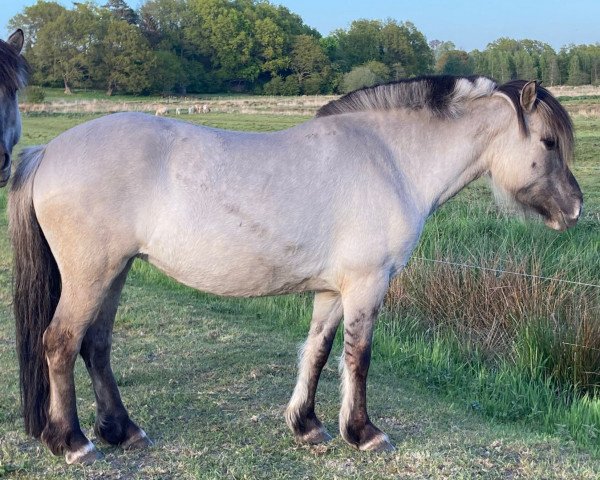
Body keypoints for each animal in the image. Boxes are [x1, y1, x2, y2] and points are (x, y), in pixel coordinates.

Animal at [8, 74, 580, 462]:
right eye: (549, 143)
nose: (575, 209)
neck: (389, 158)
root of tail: (49, 150)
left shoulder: (331, 291)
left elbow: (319, 352)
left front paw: (306, 425)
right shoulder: (367, 285)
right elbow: (358, 358)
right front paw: (364, 433)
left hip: (116, 272)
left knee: (96, 346)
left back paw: (122, 431)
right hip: (92, 275)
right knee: (60, 343)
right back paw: (73, 442)